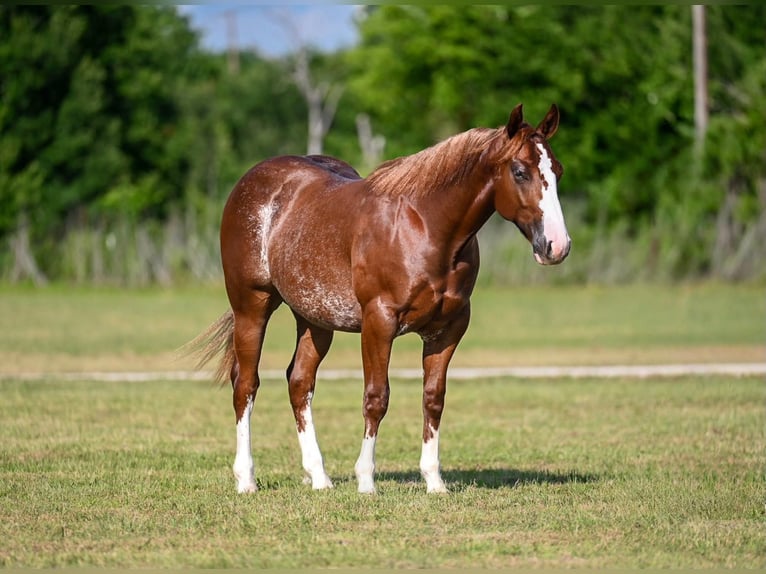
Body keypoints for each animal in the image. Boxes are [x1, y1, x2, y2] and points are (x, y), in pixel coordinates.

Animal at [189, 103, 570, 494]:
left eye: (557, 170)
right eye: (520, 171)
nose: (557, 245)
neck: (425, 226)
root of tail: (252, 182)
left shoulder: (448, 328)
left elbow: (433, 398)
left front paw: (434, 480)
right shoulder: (379, 321)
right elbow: (376, 398)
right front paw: (366, 480)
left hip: (314, 318)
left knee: (299, 383)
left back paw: (319, 476)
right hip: (252, 306)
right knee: (246, 384)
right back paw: (246, 478)